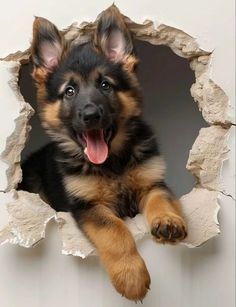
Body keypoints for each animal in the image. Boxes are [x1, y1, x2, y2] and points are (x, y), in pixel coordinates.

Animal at [19, 6, 187, 302]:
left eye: (105, 85)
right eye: (69, 91)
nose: (90, 115)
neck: (113, 164)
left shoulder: (153, 183)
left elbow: (160, 200)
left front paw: (168, 220)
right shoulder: (87, 206)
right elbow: (114, 230)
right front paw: (131, 276)